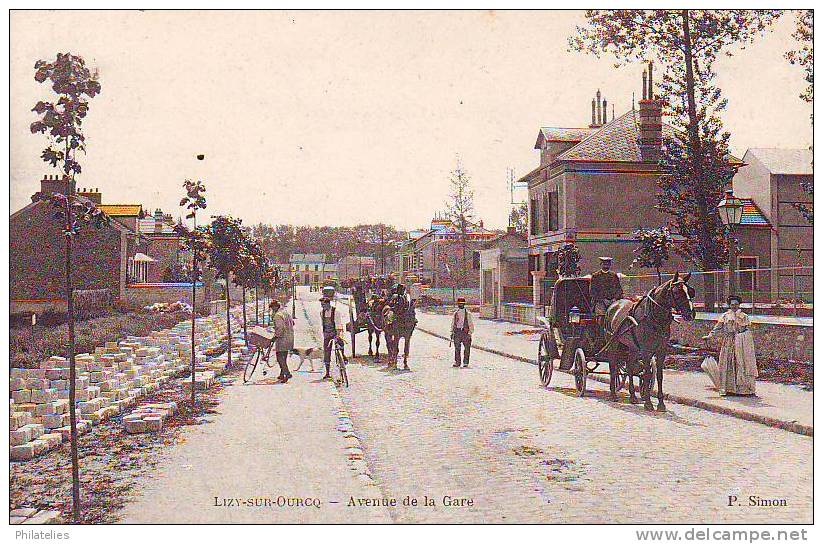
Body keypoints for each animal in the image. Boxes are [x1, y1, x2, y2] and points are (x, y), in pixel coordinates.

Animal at [600, 272, 696, 412]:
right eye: (677, 292)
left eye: (690, 291)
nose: (691, 313)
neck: (654, 318)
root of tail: (613, 306)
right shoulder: (646, 351)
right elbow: (646, 374)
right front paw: (648, 403)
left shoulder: (661, 351)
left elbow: (659, 375)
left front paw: (660, 403)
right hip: (613, 343)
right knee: (613, 366)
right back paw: (613, 394)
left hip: (633, 347)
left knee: (629, 366)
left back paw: (633, 396)